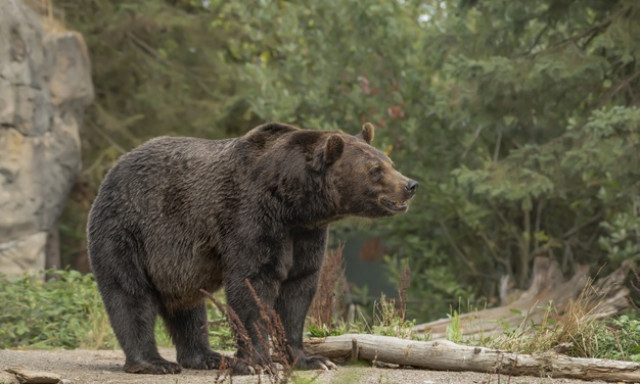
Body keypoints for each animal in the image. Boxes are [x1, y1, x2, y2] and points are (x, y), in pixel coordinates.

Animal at [87, 123, 418, 376]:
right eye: (375, 169)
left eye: (389, 162)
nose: (410, 184)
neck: (293, 202)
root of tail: (110, 173)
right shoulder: (251, 217)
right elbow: (252, 285)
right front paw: (257, 362)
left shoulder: (305, 234)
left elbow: (298, 290)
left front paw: (311, 359)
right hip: (128, 231)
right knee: (130, 295)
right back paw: (154, 363)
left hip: (175, 264)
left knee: (188, 307)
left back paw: (206, 357)